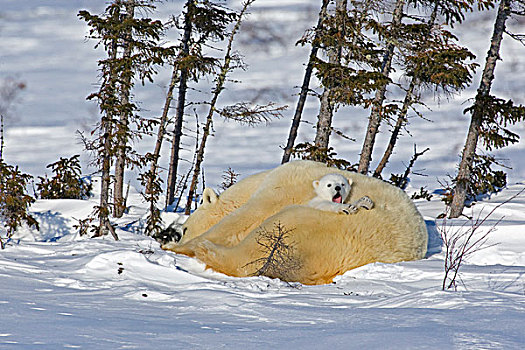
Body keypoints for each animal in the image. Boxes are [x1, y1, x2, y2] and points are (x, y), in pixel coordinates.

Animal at [163, 161, 426, 284]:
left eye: (185, 228)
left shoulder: (284, 185)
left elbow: (249, 215)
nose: (177, 234)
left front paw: (179, 245)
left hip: (328, 228)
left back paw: (204, 250)